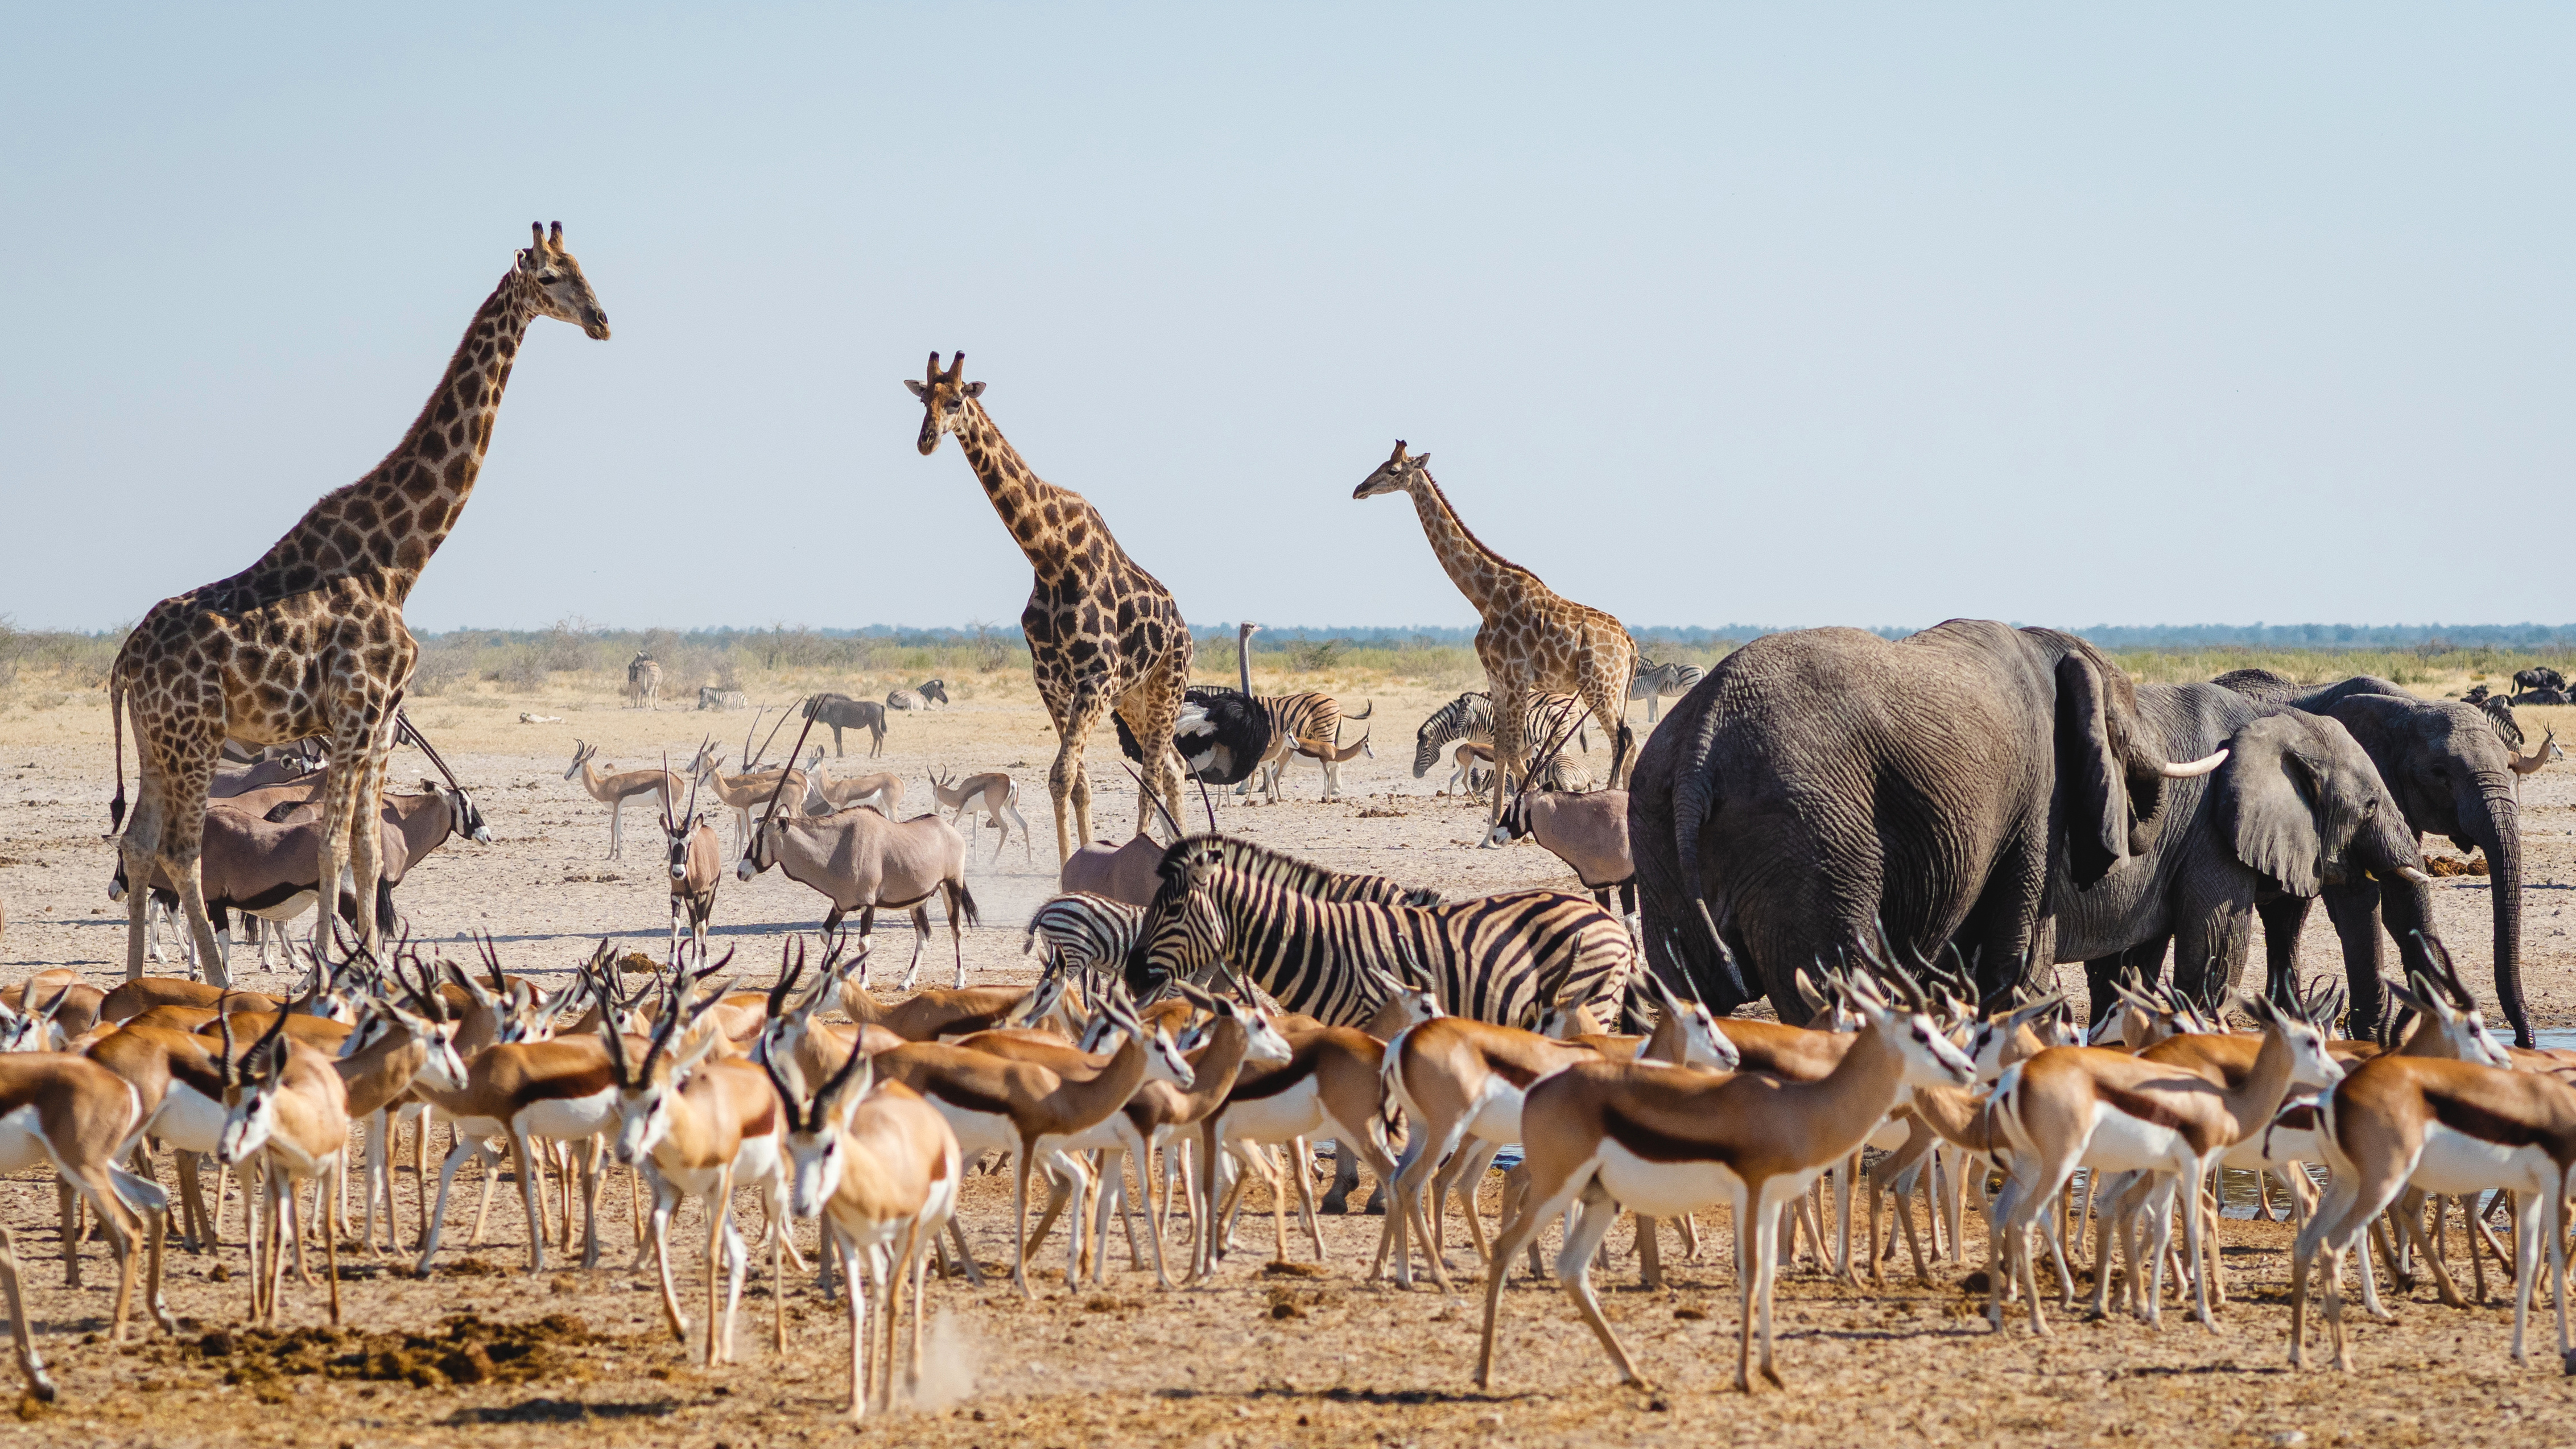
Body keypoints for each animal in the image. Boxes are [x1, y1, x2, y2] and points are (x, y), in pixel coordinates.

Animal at [108, 223, 610, 986]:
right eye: (551, 278)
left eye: (584, 268)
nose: (602, 321)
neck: (399, 560)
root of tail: (126, 660)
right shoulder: (356, 713)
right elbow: (332, 849)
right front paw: (327, 973)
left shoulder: (380, 722)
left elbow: (370, 853)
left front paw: (371, 972)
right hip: (195, 736)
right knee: (181, 852)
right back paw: (217, 982)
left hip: (154, 738)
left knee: (137, 844)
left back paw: (137, 984)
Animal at [906, 352, 1192, 864]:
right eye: (924, 400)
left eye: (957, 400)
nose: (926, 440)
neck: (1050, 558)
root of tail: (1185, 631)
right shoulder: (1052, 683)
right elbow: (1075, 782)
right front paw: (1072, 863)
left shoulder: (1095, 679)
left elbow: (1063, 775)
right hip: (1135, 698)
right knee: (1174, 767)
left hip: (1167, 686)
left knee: (1154, 775)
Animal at [1352, 440, 1637, 845]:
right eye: (1379, 463)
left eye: (1393, 470)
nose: (1359, 489)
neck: (1485, 598)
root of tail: (1629, 642)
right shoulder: (1497, 679)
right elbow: (1502, 750)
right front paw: (1489, 832)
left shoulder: (1518, 679)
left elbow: (1517, 754)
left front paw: (1519, 825)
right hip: (1611, 690)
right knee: (1629, 740)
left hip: (1601, 687)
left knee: (1622, 739)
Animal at [1627, 658, 1704, 724]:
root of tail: (1701, 668)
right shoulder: (1655, 693)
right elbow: (1656, 706)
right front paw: (1657, 720)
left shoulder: (1653, 693)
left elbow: (1654, 706)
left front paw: (1654, 719)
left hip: (1691, 685)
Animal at [2216, 670, 2535, 1045]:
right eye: (2440, 773)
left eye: (2509, 767)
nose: (2521, 1042)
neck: (2409, 710)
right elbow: (2362, 896)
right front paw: (2368, 1037)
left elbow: (2399, 896)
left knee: (2287, 920)